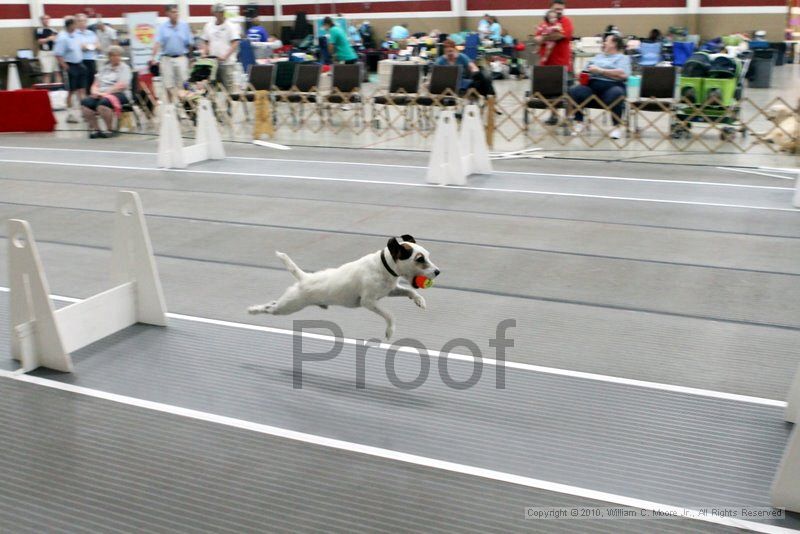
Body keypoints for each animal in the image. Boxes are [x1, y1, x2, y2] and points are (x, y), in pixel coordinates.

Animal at [248, 237, 440, 342]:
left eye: (428, 256)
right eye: (419, 259)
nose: (438, 272)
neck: (384, 266)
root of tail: (305, 278)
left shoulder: (391, 290)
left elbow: (410, 291)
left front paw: (419, 300)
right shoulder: (369, 302)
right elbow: (390, 315)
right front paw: (390, 331)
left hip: (288, 303)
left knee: (273, 303)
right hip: (289, 306)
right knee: (270, 308)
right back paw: (253, 310)